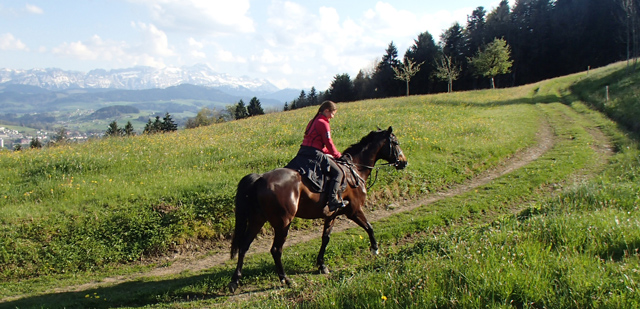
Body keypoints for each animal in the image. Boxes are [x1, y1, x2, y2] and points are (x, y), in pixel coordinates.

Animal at [228, 125, 408, 292]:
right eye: (395, 142)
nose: (404, 162)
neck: (356, 169)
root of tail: (260, 179)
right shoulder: (354, 211)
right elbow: (369, 227)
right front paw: (375, 249)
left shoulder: (332, 215)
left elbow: (325, 238)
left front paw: (321, 265)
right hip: (282, 223)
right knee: (275, 250)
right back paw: (285, 279)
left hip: (257, 219)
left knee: (244, 246)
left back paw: (234, 281)